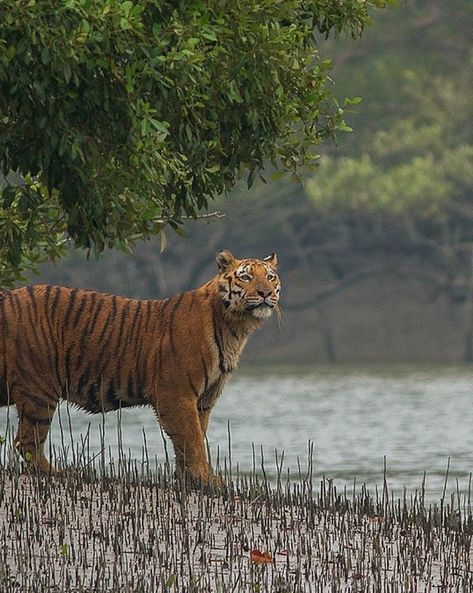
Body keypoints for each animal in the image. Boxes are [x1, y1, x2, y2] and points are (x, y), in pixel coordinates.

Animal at [0, 250, 280, 480]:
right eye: (246, 277)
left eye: (270, 277)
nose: (265, 293)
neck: (236, 327)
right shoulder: (176, 394)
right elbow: (192, 440)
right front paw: (207, 480)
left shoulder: (204, 400)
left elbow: (194, 438)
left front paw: (188, 479)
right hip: (40, 389)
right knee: (27, 442)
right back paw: (58, 472)